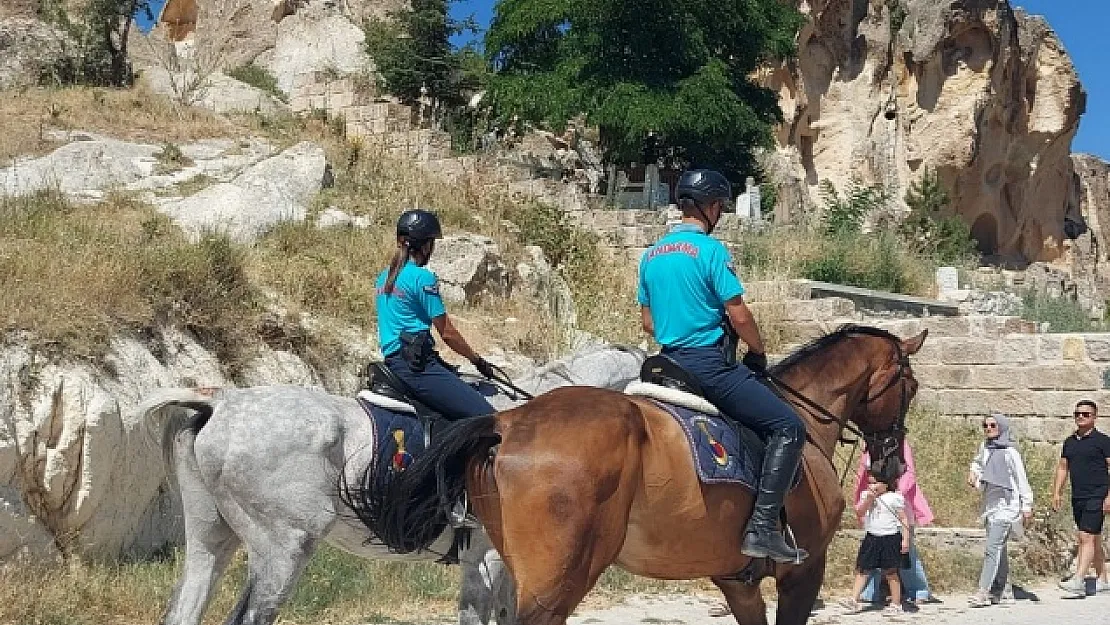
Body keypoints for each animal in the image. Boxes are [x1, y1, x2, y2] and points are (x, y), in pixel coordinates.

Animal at [344, 328, 927, 625]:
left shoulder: (737, 581)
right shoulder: (802, 572)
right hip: (558, 580)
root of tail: (504, 423)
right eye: (912, 386)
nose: (893, 465)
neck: (802, 422)